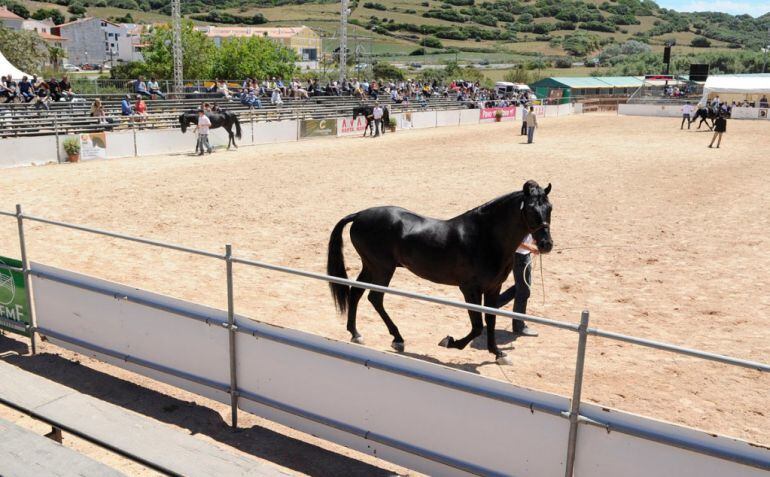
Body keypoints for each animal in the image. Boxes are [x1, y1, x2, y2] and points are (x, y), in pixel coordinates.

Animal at [326, 178, 552, 360]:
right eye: (531, 209)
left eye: (550, 208)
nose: (546, 245)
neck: (484, 237)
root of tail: (359, 215)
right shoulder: (470, 289)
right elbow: (477, 326)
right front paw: (451, 342)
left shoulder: (493, 288)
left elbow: (490, 319)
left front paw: (497, 353)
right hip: (382, 268)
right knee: (375, 297)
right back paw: (397, 338)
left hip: (371, 266)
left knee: (356, 292)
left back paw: (356, 333)